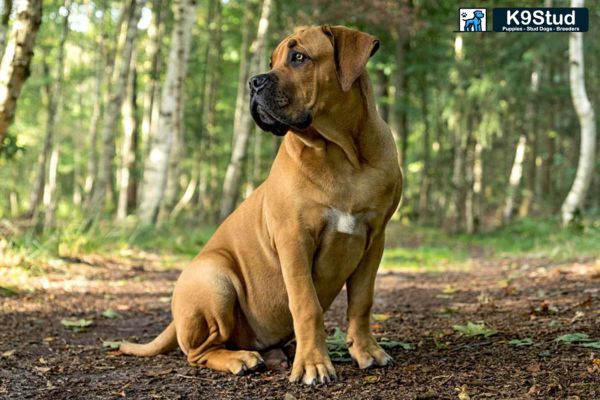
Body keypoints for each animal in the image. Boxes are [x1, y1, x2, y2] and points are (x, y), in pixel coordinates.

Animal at [120, 24, 404, 384]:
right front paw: (313, 365)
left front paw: (367, 351)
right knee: (199, 352)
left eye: (299, 57)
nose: (254, 82)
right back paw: (241, 359)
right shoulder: (294, 240)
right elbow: (306, 305)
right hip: (214, 278)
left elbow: (362, 302)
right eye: (272, 61)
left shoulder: (373, 238)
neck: (341, 152)